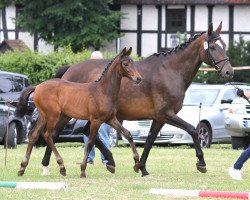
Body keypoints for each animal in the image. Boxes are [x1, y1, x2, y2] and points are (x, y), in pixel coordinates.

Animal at [16, 47, 143, 178]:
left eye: (133, 62)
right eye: (125, 64)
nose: (138, 78)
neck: (103, 91)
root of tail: (37, 87)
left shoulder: (110, 119)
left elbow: (127, 134)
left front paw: (137, 164)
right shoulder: (96, 121)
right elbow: (90, 143)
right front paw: (82, 170)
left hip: (44, 116)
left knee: (33, 135)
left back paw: (22, 167)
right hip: (53, 116)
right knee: (48, 135)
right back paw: (62, 167)